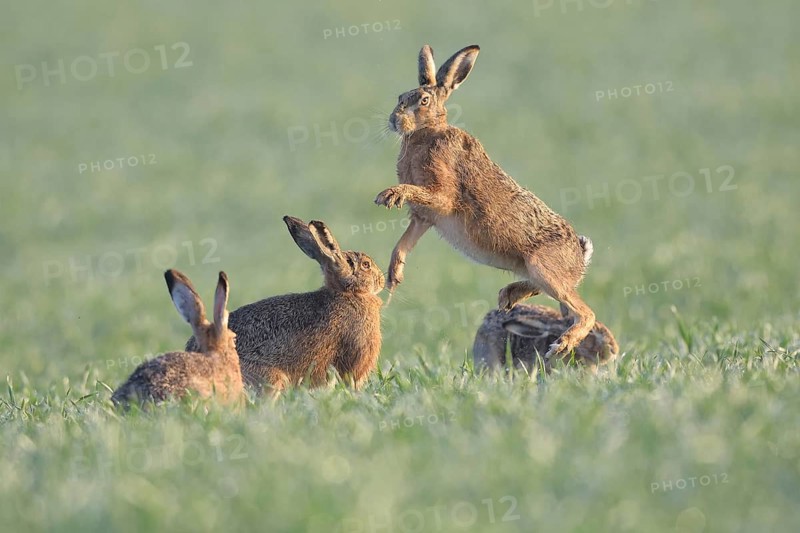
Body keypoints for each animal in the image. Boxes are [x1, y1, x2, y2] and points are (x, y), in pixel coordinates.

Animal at [374, 43, 598, 358]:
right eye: (400, 97)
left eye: (424, 100)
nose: (395, 121)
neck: (427, 132)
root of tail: (580, 255)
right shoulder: (423, 218)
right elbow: (403, 243)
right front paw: (394, 276)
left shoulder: (441, 198)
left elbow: (433, 197)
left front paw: (390, 194)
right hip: (536, 270)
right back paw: (509, 296)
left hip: (543, 266)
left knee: (585, 312)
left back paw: (561, 345)